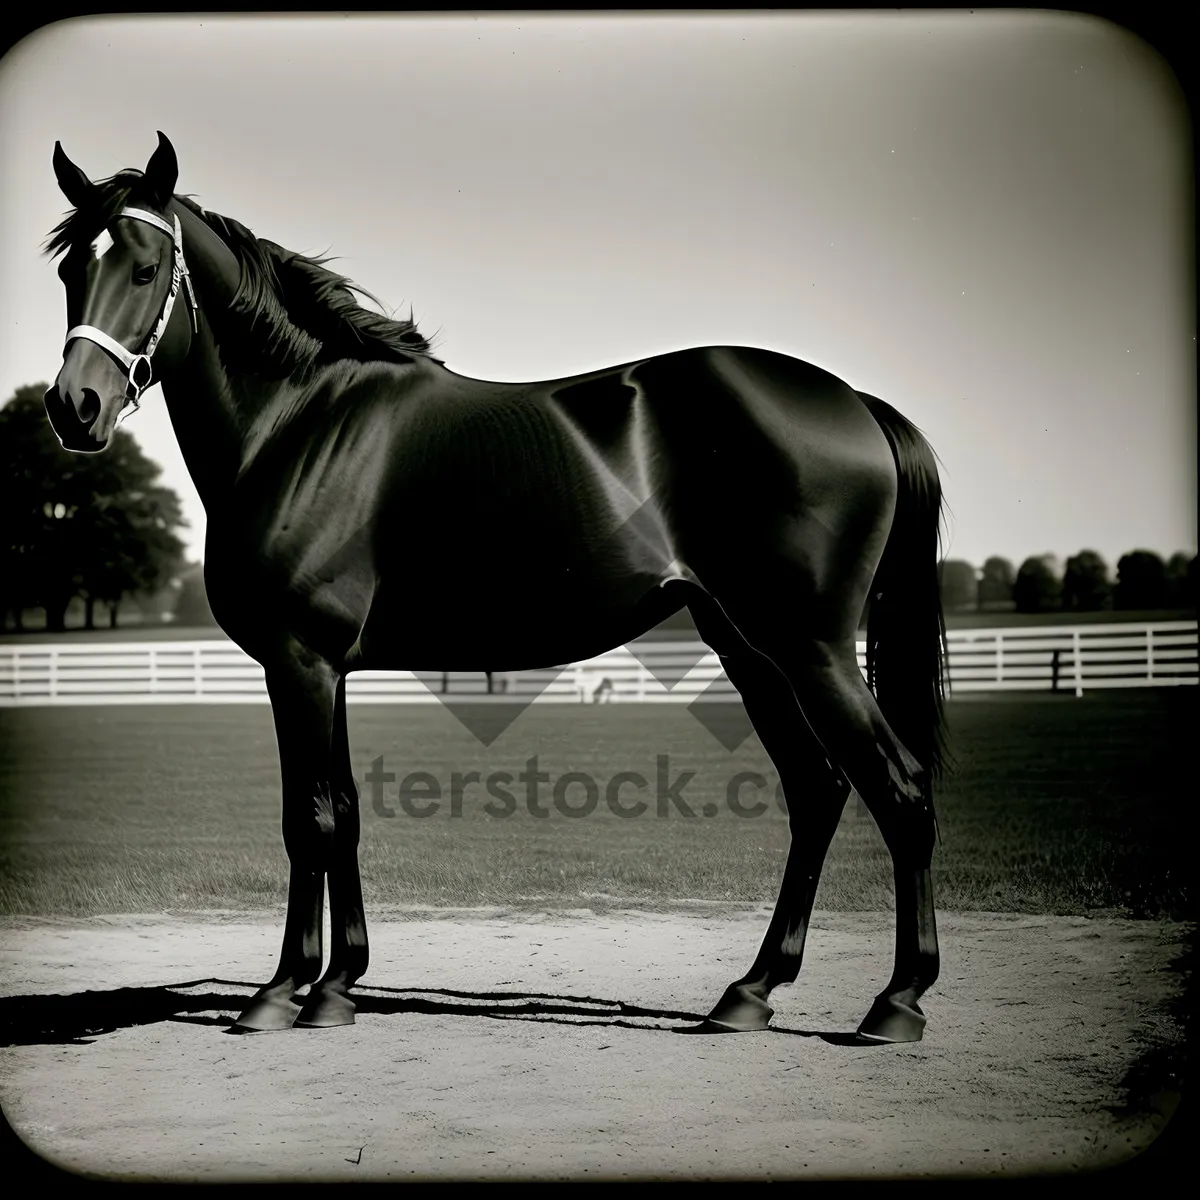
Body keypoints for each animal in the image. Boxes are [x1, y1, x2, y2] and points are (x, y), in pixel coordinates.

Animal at [44, 133, 945, 1041]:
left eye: (146, 267)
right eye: (70, 271)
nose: (73, 407)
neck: (302, 425)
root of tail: (854, 402)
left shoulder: (297, 662)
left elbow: (310, 819)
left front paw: (280, 991)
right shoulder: (329, 667)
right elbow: (347, 815)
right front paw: (338, 987)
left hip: (810, 648)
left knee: (899, 791)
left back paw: (895, 1002)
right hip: (750, 648)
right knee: (818, 789)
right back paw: (750, 992)